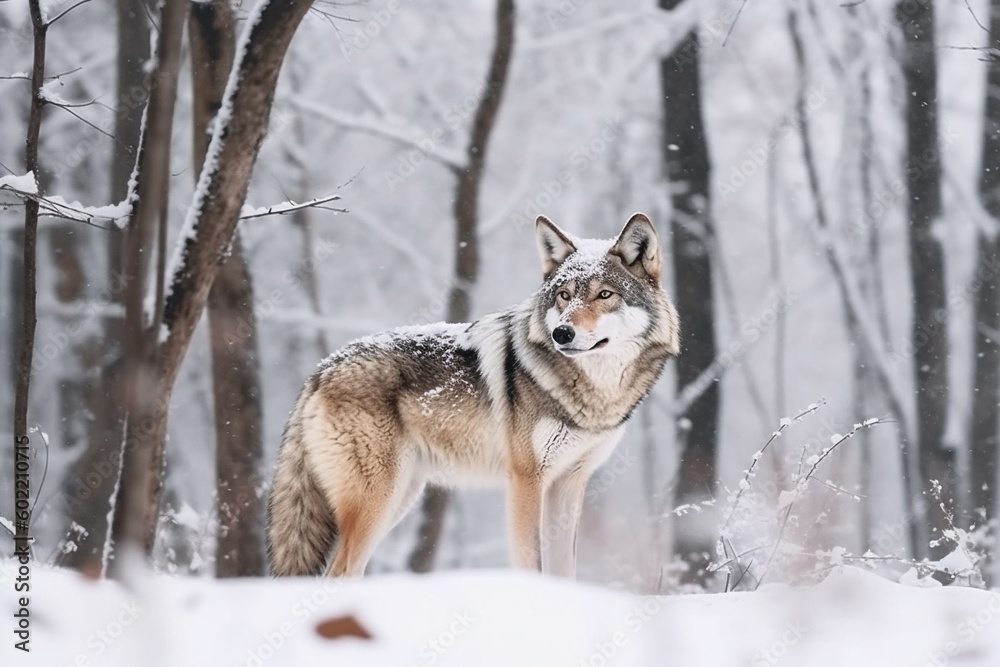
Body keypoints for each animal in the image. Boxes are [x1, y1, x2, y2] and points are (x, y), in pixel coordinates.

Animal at [267, 212, 679, 578]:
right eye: (564, 295)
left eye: (605, 294)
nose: (562, 333)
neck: (593, 394)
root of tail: (322, 368)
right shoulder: (526, 481)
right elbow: (531, 563)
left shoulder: (569, 484)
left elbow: (565, 570)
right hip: (378, 500)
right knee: (339, 572)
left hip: (399, 498)